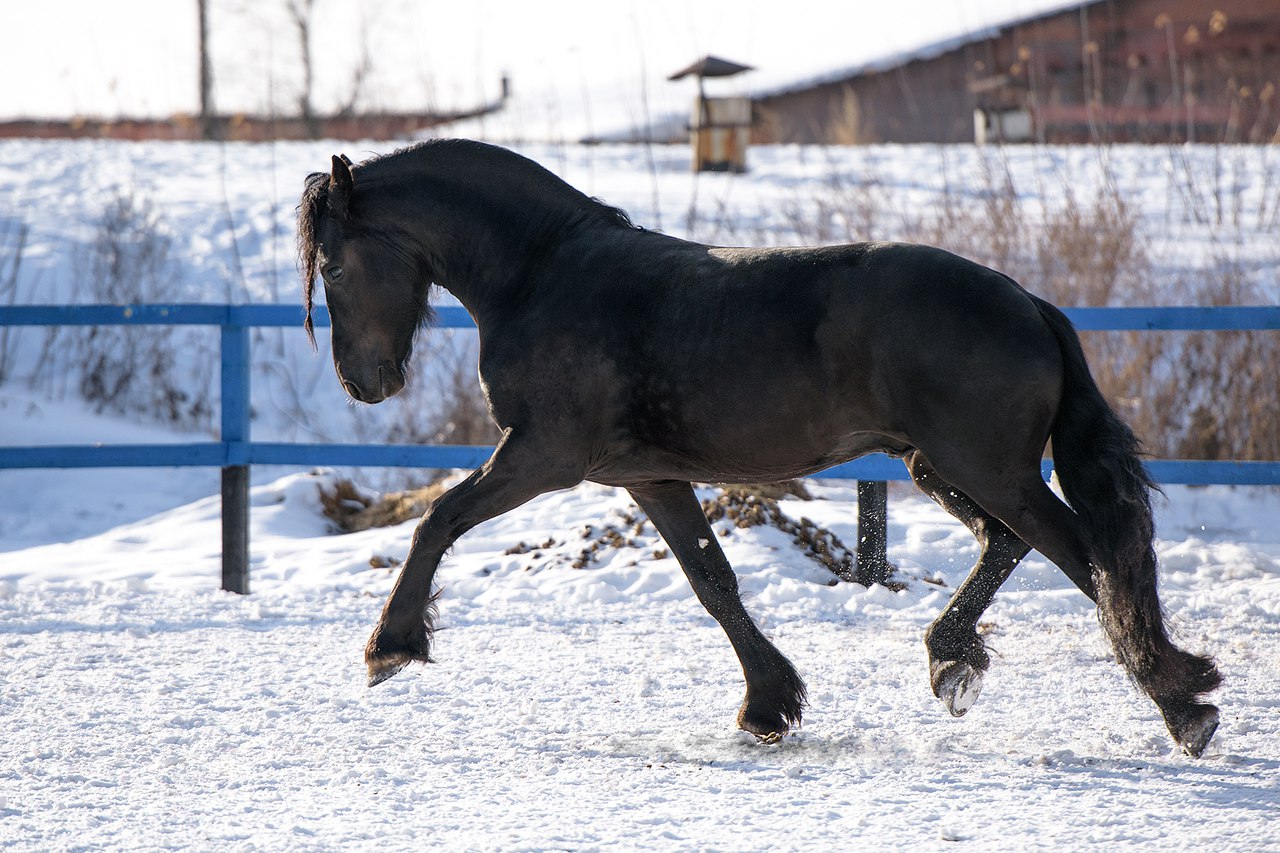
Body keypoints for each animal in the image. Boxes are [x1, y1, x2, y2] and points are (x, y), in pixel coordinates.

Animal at [296, 140, 1218, 758]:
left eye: (334, 268)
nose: (362, 383)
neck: (543, 274)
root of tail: (1030, 303)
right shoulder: (650, 476)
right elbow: (713, 581)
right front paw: (770, 704)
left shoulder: (542, 455)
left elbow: (438, 520)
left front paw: (390, 645)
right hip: (941, 466)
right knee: (1011, 542)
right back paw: (954, 659)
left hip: (982, 467)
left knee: (1085, 555)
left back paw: (1184, 706)